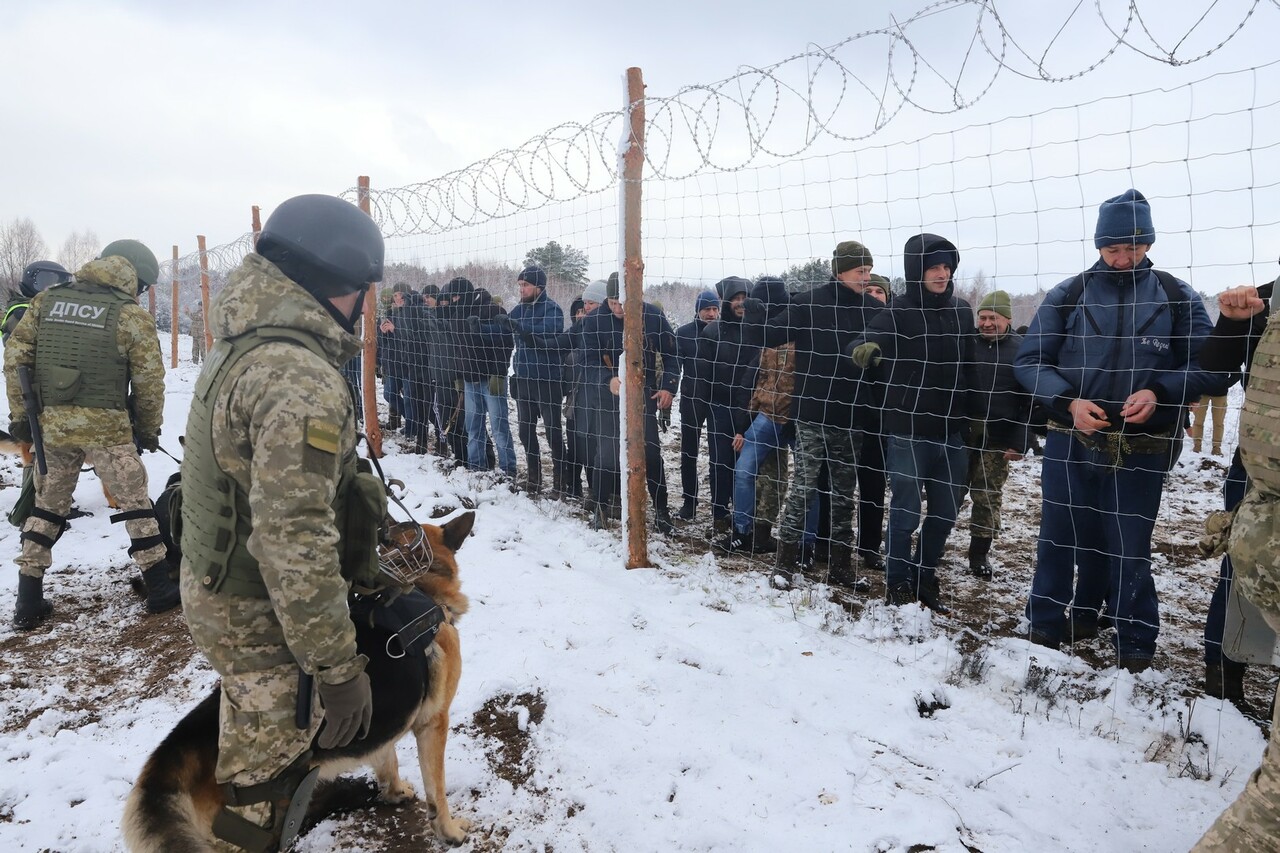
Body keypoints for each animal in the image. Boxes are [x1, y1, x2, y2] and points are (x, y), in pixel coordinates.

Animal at [120, 507, 476, 845]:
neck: (419, 586)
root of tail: (188, 735)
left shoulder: (381, 729)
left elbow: (387, 761)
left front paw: (394, 793)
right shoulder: (434, 724)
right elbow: (436, 791)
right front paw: (449, 831)